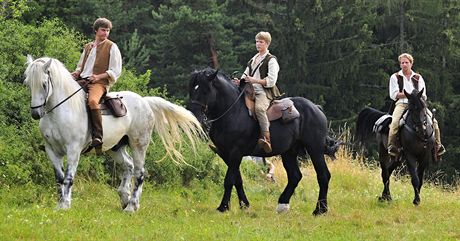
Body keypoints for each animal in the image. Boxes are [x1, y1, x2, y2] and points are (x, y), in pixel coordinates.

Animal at [24, 55, 204, 212]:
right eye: (28, 84)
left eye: (44, 84)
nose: (35, 114)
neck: (61, 110)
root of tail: (144, 101)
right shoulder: (52, 150)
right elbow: (59, 179)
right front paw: (60, 204)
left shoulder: (73, 150)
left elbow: (68, 178)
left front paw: (65, 205)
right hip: (115, 147)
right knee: (129, 165)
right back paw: (124, 198)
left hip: (139, 145)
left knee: (139, 172)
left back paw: (131, 206)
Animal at [188, 67, 342, 215]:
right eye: (191, 90)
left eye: (205, 90)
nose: (194, 117)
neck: (233, 112)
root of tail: (316, 108)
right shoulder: (225, 153)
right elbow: (237, 179)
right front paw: (245, 205)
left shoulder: (236, 153)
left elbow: (229, 180)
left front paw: (223, 207)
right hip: (289, 152)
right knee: (295, 176)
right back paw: (282, 205)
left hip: (315, 149)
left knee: (323, 175)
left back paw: (320, 210)